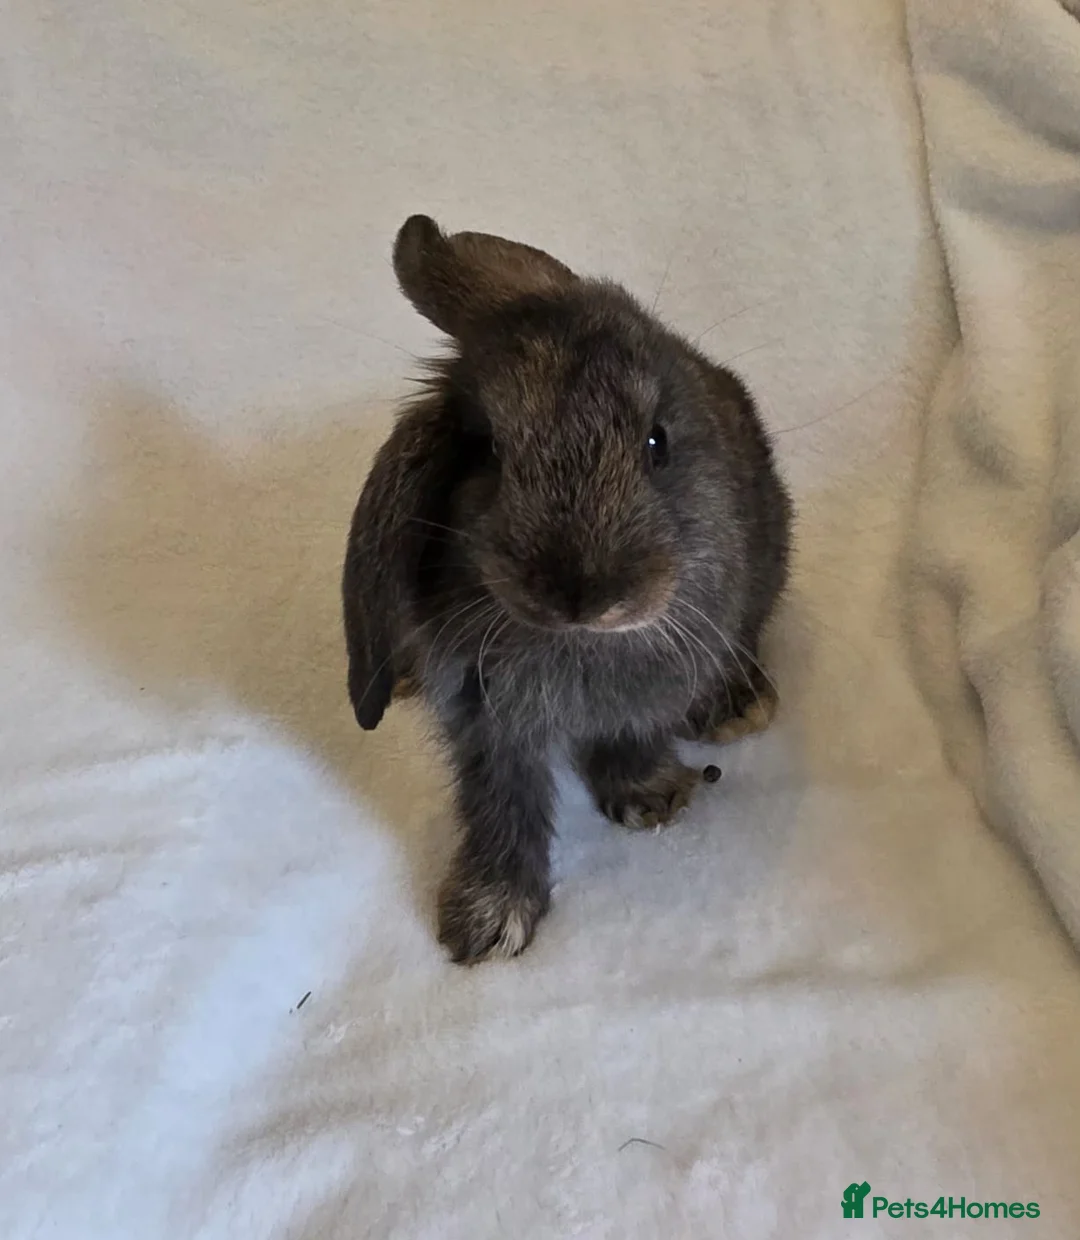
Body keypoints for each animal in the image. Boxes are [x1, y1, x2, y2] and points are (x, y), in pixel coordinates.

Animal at [343, 215, 792, 963]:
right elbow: (500, 803)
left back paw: (737, 706)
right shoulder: (484, 724)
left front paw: (653, 798)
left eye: (656, 442)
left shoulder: (648, 696)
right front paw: (488, 923)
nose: (583, 594)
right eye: (489, 452)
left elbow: (632, 742)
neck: (577, 644)